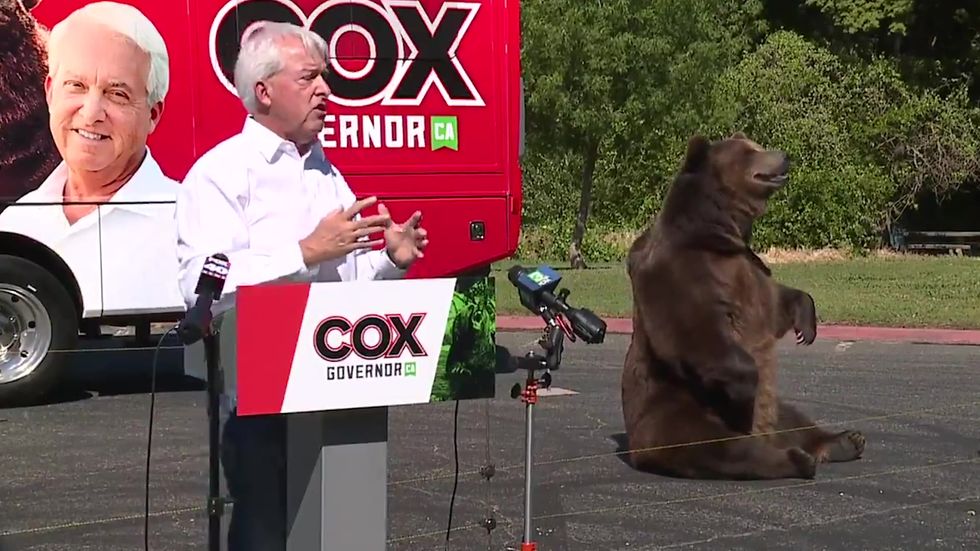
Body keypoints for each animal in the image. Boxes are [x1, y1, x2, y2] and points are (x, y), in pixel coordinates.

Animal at [620, 132, 865, 480]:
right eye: (749, 152)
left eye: (756, 145)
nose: (785, 156)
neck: (719, 234)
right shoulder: (682, 271)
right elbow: (695, 331)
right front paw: (745, 387)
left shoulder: (751, 268)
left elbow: (776, 302)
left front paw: (806, 325)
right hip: (678, 411)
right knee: (720, 447)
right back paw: (796, 459)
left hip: (776, 408)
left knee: (795, 418)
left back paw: (843, 441)